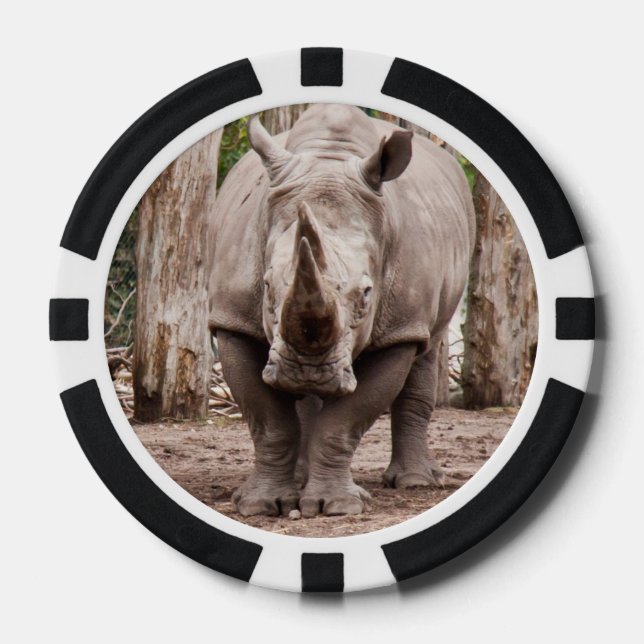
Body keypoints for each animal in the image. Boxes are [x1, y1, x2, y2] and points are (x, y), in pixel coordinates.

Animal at [208, 104, 474, 518]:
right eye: (266, 286)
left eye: (366, 293)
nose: (307, 369)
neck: (328, 160)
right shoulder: (232, 320)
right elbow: (269, 422)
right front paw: (259, 506)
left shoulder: (398, 330)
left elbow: (344, 423)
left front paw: (335, 506)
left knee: (429, 345)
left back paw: (417, 482)